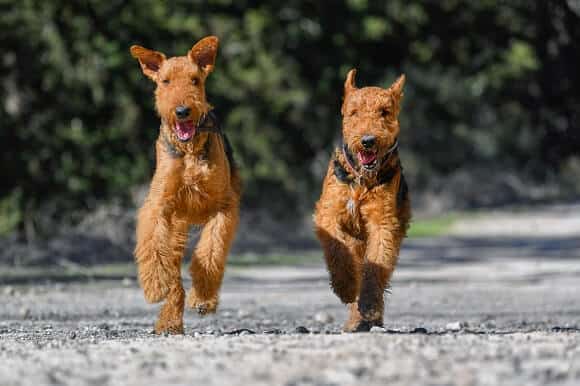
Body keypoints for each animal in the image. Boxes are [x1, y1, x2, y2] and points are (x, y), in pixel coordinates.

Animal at [131, 36, 240, 334]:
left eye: (195, 80)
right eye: (165, 81)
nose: (182, 111)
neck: (188, 150)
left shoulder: (224, 205)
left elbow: (211, 252)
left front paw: (202, 299)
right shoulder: (158, 205)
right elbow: (153, 248)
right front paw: (155, 286)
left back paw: (203, 302)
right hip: (175, 226)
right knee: (174, 276)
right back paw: (169, 320)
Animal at [312, 68, 412, 332]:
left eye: (384, 111)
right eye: (354, 112)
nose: (368, 140)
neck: (361, 178)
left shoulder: (383, 223)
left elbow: (376, 266)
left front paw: (368, 305)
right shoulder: (328, 214)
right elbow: (337, 251)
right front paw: (345, 287)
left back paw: (367, 315)